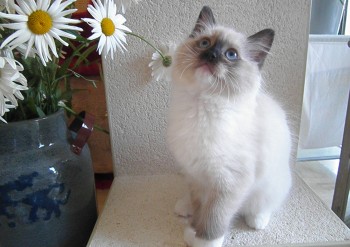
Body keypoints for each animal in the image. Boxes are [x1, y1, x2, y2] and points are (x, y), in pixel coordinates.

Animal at [165, 5, 292, 247]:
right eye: (205, 43)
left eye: (231, 55)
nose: (211, 55)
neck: (202, 108)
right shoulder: (197, 176)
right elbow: (200, 209)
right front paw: (192, 231)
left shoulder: (228, 182)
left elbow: (213, 218)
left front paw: (203, 241)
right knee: (189, 201)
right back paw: (183, 207)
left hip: (269, 186)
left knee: (264, 205)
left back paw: (257, 220)